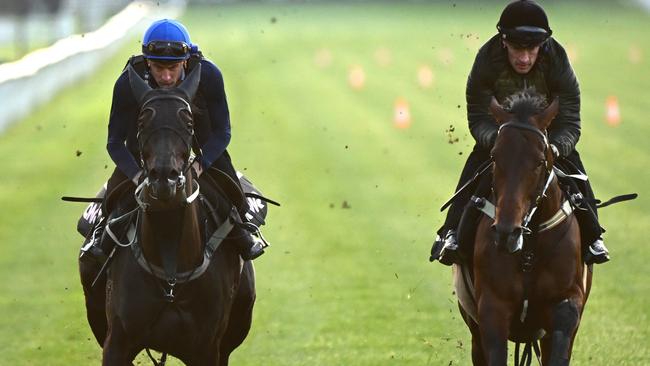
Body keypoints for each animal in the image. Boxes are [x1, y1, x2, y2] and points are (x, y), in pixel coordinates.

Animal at [454, 90, 588, 364]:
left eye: (539, 161)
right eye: (494, 156)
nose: (507, 232)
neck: (531, 248)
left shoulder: (566, 305)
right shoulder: (492, 308)